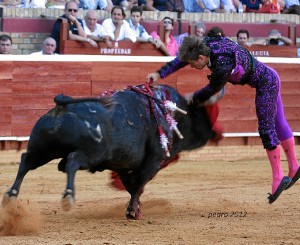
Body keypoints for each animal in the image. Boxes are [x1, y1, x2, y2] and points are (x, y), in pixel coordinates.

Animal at [1, 84, 214, 220]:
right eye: (197, 114)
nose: (211, 132)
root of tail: (64, 104)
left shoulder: (123, 166)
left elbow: (132, 187)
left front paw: (136, 209)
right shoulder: (154, 161)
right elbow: (139, 185)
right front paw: (132, 212)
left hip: (43, 149)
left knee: (26, 161)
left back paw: (11, 195)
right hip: (91, 154)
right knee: (71, 161)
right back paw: (68, 197)